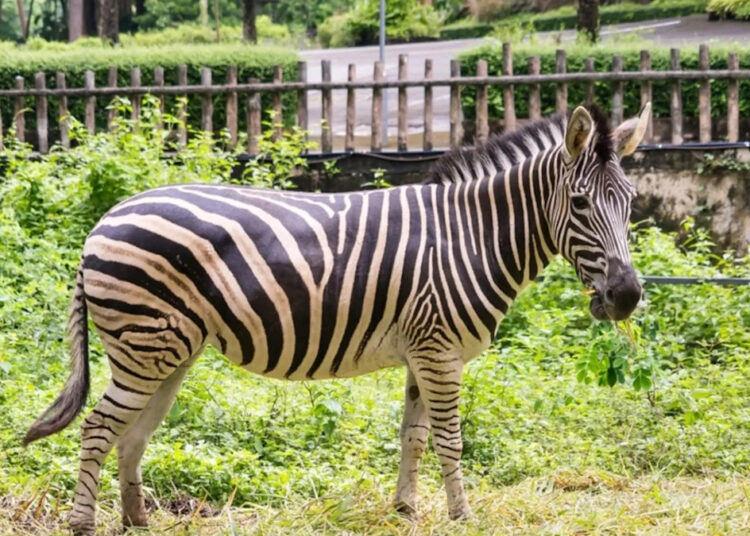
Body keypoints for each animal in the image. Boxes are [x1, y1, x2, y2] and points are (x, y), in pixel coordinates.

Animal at [24, 103, 649, 534]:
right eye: (581, 204)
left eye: (631, 204)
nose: (625, 297)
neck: (471, 235)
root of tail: (103, 222)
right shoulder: (441, 351)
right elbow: (450, 441)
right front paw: (462, 516)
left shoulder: (422, 350)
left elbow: (413, 437)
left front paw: (405, 509)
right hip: (145, 347)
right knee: (99, 428)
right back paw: (84, 524)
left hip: (167, 351)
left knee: (132, 434)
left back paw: (138, 521)